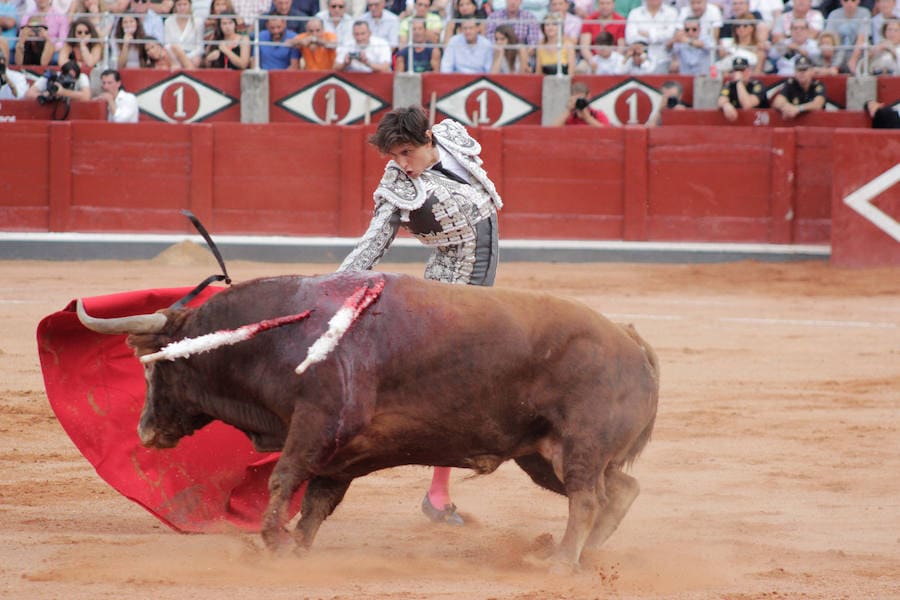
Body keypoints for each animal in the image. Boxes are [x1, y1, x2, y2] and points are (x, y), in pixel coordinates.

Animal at [77, 270, 660, 568]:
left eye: (155, 366)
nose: (144, 431)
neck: (277, 334)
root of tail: (628, 338)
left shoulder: (314, 423)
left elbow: (284, 478)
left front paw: (272, 543)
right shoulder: (339, 455)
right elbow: (315, 504)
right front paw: (297, 550)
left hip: (579, 445)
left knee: (588, 498)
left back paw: (560, 562)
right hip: (542, 455)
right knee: (619, 490)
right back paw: (581, 554)